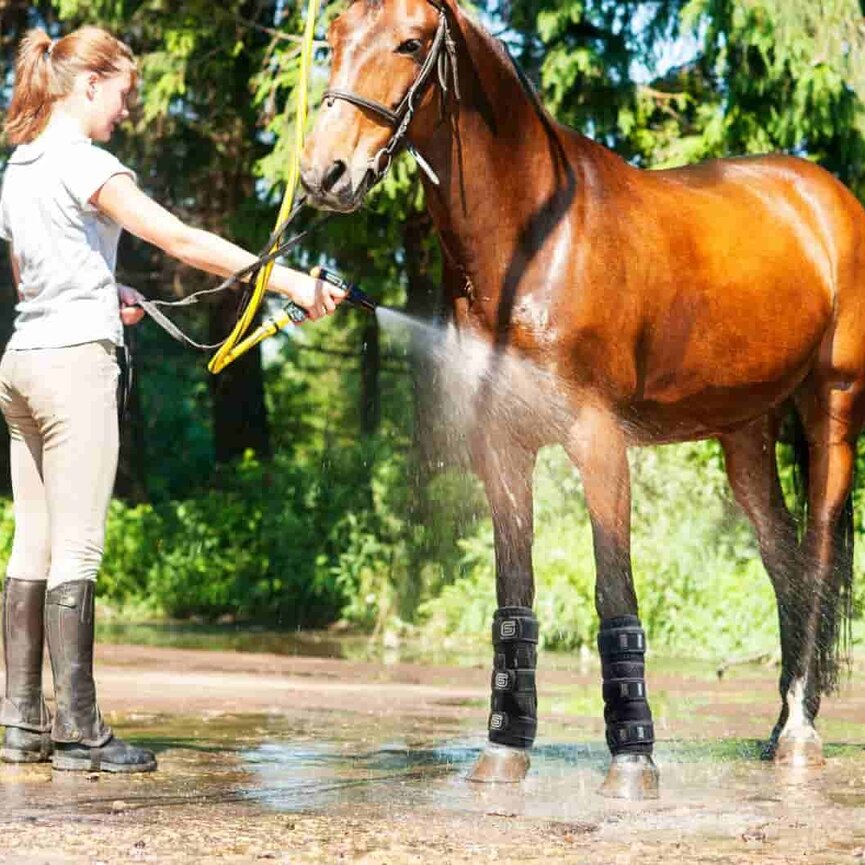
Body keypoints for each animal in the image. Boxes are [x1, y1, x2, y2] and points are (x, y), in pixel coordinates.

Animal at [299, 0, 865, 799]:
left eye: (410, 43)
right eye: (333, 38)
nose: (325, 172)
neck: (535, 244)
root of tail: (823, 196)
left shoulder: (599, 440)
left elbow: (612, 592)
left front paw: (632, 762)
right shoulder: (502, 446)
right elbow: (515, 595)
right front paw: (504, 751)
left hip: (832, 410)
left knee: (815, 560)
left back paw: (799, 737)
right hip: (745, 434)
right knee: (781, 561)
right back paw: (780, 724)